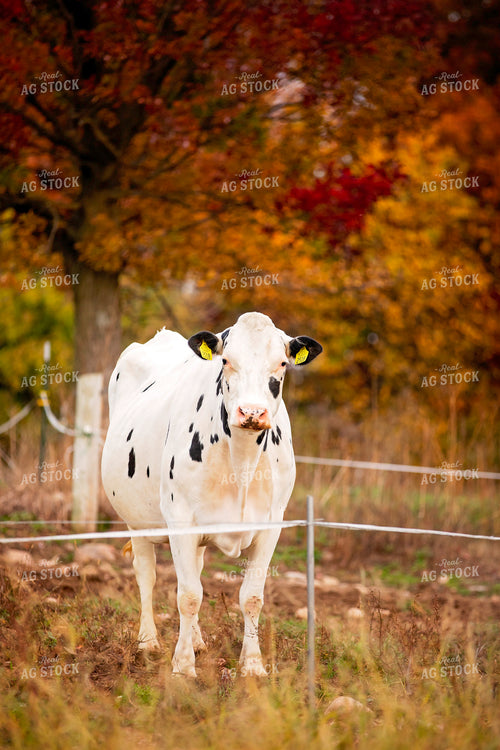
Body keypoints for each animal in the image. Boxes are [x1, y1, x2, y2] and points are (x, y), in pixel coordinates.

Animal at [101, 311, 322, 677]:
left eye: (281, 363)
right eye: (226, 361)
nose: (252, 413)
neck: (242, 462)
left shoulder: (272, 524)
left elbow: (251, 596)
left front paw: (252, 665)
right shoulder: (179, 520)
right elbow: (188, 595)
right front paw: (182, 667)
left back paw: (197, 640)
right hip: (137, 520)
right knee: (146, 575)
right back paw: (148, 642)